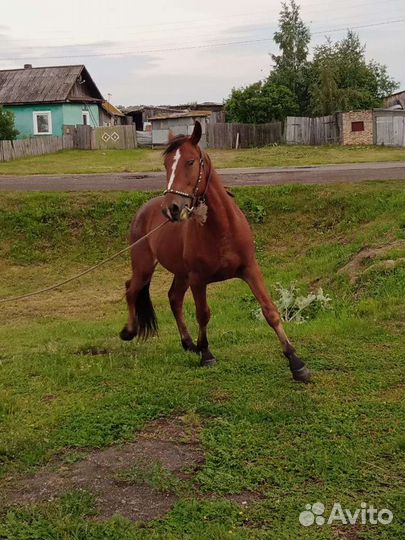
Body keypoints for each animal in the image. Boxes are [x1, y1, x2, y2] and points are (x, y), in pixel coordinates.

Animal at [119, 122, 310, 384]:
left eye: (190, 161)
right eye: (166, 164)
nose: (171, 209)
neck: (222, 229)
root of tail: (143, 211)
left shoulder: (250, 269)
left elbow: (270, 310)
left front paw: (296, 362)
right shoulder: (198, 280)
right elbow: (203, 314)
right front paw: (207, 354)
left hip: (180, 274)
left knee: (173, 298)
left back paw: (188, 343)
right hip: (145, 266)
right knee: (131, 290)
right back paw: (130, 331)